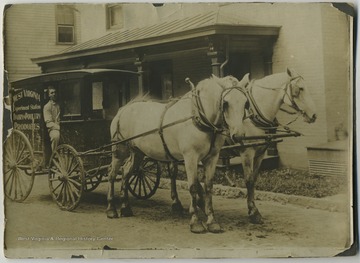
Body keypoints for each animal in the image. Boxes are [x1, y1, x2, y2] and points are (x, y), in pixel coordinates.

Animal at [107, 74, 248, 233]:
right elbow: (193, 186)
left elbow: (208, 187)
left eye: (245, 103)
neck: (198, 116)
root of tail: (123, 110)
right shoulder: (190, 157)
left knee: (125, 173)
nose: (238, 135)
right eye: (225, 103)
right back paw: (111, 208)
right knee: (112, 174)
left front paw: (212, 221)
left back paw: (125, 207)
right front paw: (195, 222)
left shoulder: (212, 158)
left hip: (137, 152)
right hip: (119, 150)